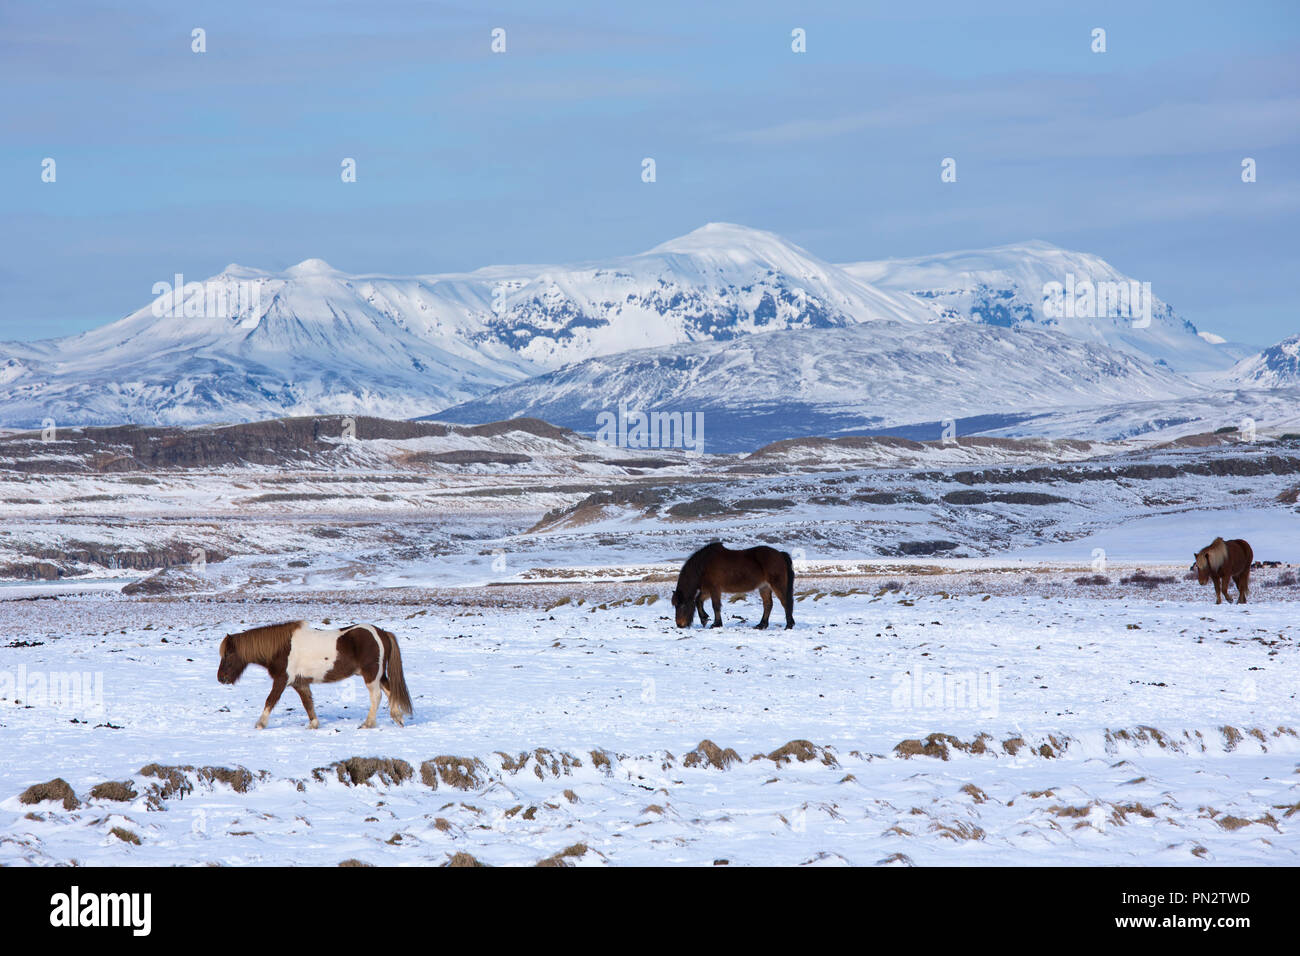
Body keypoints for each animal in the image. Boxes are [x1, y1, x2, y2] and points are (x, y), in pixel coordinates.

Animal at [215, 624, 410, 728]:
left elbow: (270, 700)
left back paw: (368, 723)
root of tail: (382, 633)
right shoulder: (300, 683)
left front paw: (260, 724)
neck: (282, 649)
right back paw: (398, 718)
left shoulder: (281, 680)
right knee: (390, 692)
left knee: (376, 696)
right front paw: (314, 724)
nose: (221, 678)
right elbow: (308, 703)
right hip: (379, 675)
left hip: (371, 675)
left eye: (228, 654)